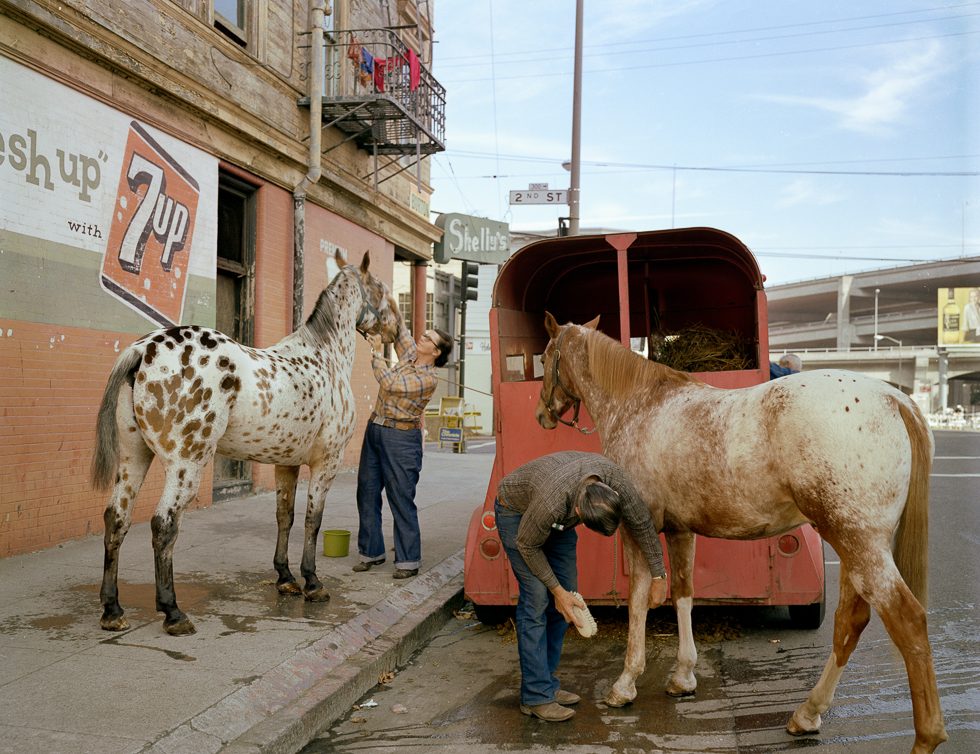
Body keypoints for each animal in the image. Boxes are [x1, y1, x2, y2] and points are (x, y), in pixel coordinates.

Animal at [90, 251, 400, 636]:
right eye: (380, 288)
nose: (397, 330)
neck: (325, 356)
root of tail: (143, 349)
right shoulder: (325, 463)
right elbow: (313, 520)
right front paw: (312, 583)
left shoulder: (286, 463)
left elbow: (285, 516)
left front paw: (285, 578)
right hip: (184, 465)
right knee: (164, 524)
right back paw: (173, 612)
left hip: (133, 458)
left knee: (116, 518)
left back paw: (112, 609)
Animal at [536, 312, 948, 752]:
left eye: (544, 358)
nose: (542, 414)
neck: (641, 407)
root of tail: (895, 398)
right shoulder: (681, 531)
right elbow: (683, 595)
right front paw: (683, 676)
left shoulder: (635, 526)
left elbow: (638, 601)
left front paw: (625, 684)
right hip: (855, 545)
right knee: (850, 622)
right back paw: (807, 714)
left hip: (858, 543)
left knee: (907, 622)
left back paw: (925, 736)